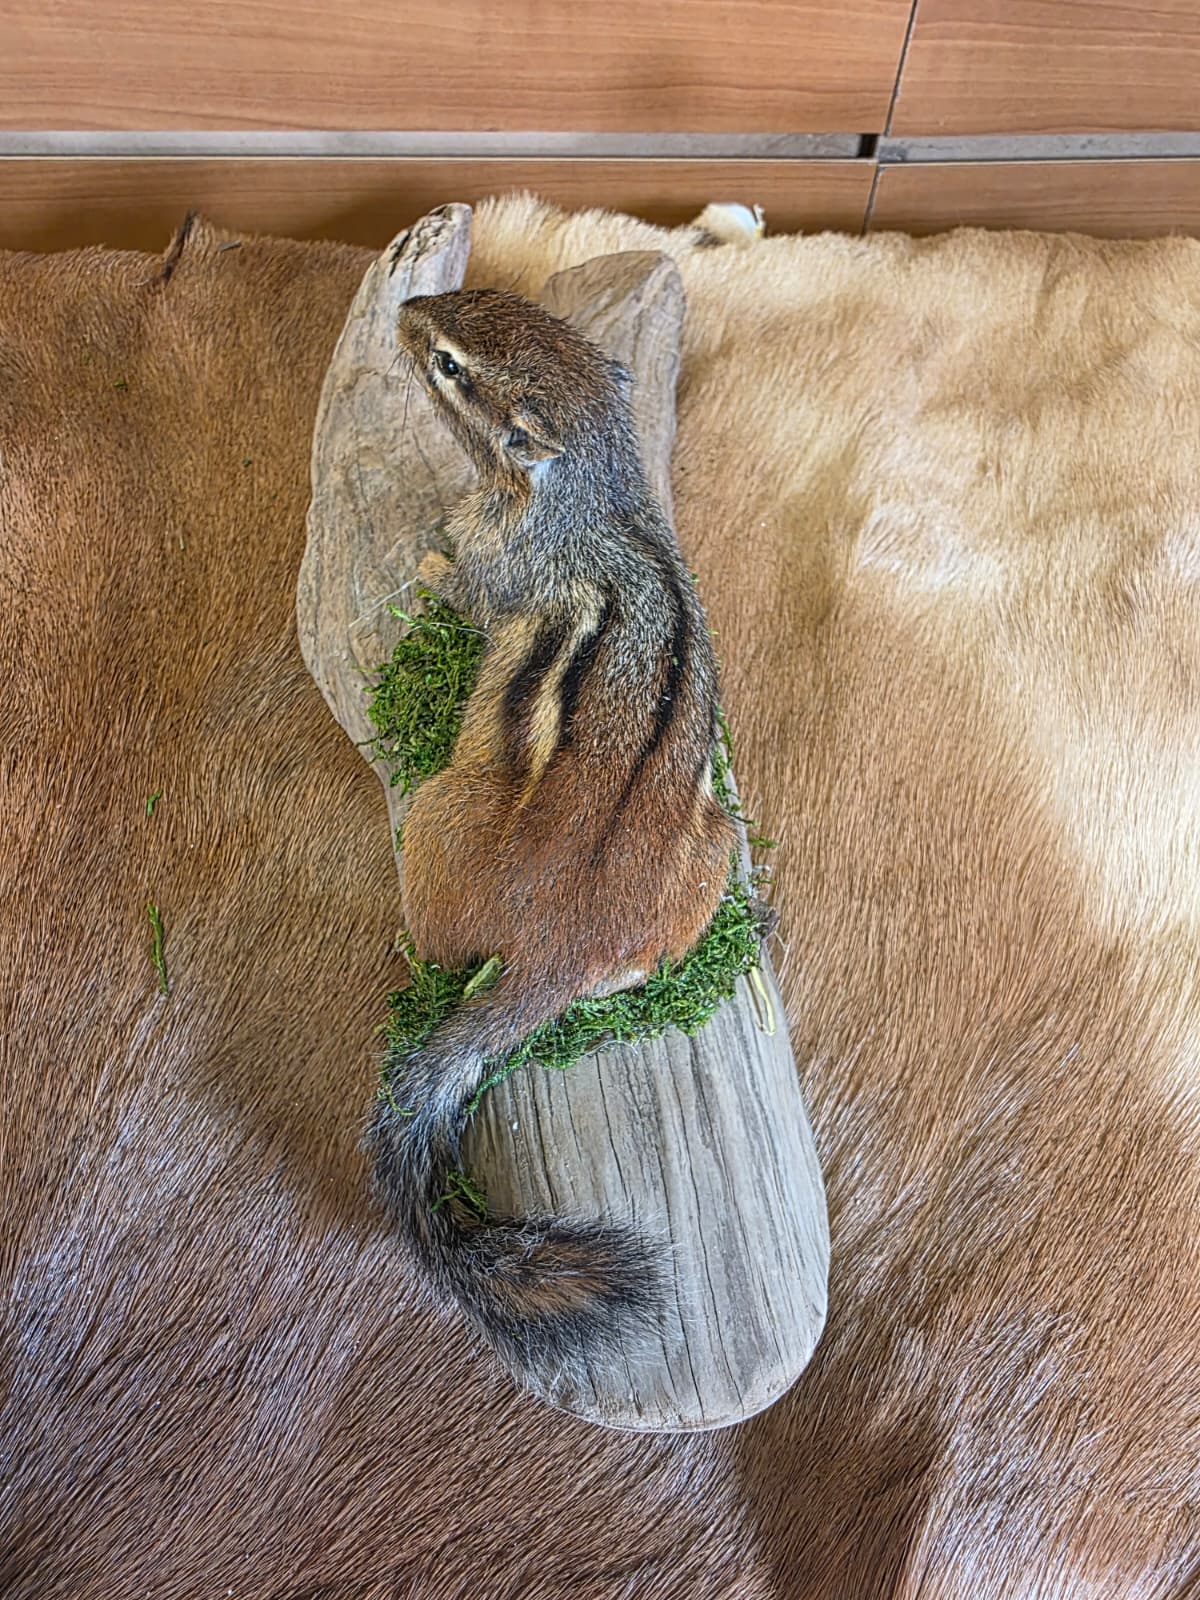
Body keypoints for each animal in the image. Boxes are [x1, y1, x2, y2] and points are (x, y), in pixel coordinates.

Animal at [368, 288, 736, 1387]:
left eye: (448, 365)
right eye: (482, 302)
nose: (408, 310)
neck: (595, 491)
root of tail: (557, 948)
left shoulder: (500, 564)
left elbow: (460, 582)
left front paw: (427, 555)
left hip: (438, 812)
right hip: (710, 846)